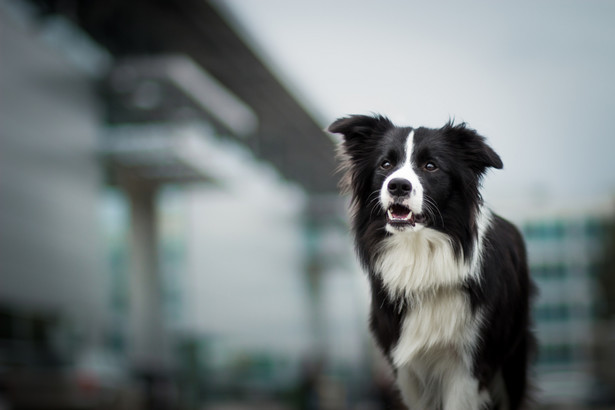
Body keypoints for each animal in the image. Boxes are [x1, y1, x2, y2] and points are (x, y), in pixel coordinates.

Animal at [328, 115, 536, 410]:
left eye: (430, 166)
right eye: (385, 164)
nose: (398, 185)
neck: (419, 253)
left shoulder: (469, 368)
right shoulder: (408, 370)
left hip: (512, 362)